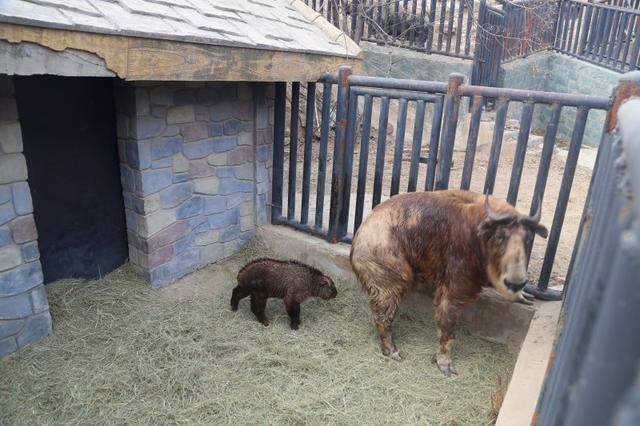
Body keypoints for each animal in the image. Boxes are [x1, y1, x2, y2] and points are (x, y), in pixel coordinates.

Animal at [352, 191, 548, 376]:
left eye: (528, 238)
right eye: (500, 236)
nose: (515, 283)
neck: (478, 233)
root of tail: (359, 236)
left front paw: (521, 294)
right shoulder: (454, 288)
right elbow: (447, 325)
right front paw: (443, 360)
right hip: (387, 287)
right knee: (382, 318)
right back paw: (391, 349)